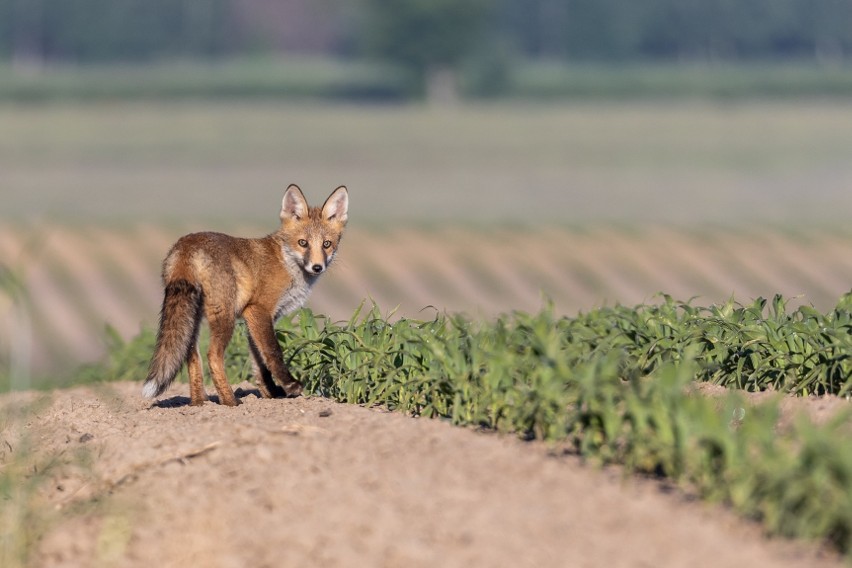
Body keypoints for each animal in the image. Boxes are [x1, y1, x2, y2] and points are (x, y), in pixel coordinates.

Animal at [141, 184, 348, 406]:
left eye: (326, 244)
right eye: (303, 243)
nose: (317, 267)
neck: (286, 262)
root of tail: (187, 244)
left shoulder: (257, 319)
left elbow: (259, 363)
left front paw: (271, 393)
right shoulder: (258, 310)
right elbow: (273, 352)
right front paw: (290, 385)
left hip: (192, 319)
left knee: (192, 356)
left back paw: (199, 404)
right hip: (225, 316)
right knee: (212, 355)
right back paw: (230, 402)